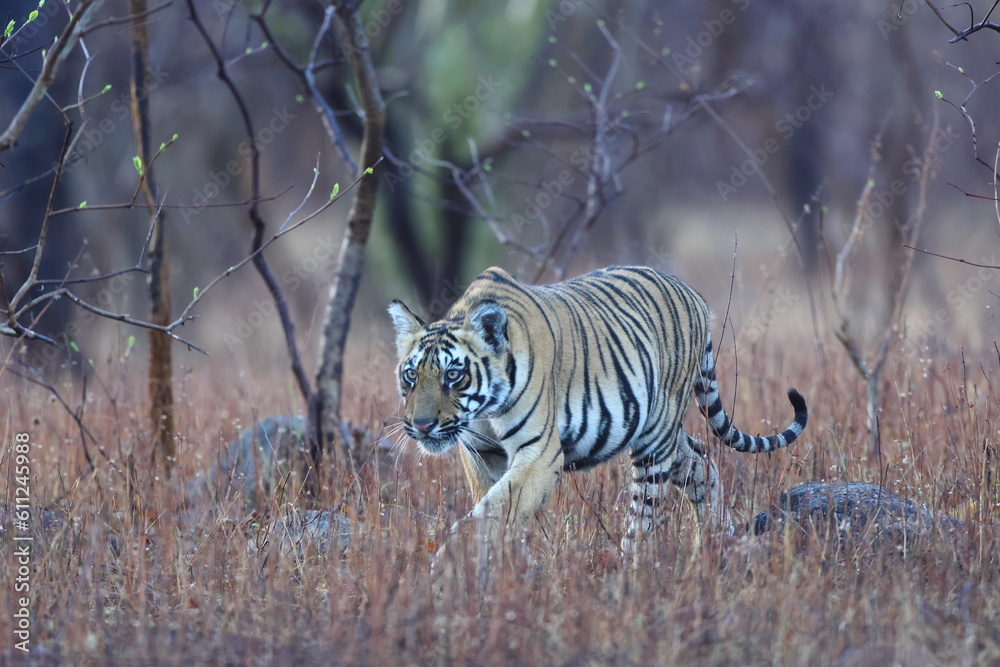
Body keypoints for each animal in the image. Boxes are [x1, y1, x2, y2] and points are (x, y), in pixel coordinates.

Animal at [388, 265, 808, 553]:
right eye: (411, 375)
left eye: (453, 375)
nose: (421, 426)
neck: (485, 410)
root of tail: (696, 296)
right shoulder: (480, 455)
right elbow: (492, 511)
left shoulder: (540, 455)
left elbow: (492, 510)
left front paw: (449, 569)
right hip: (668, 437)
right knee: (700, 459)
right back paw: (720, 538)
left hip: (655, 438)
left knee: (644, 519)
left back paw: (630, 575)